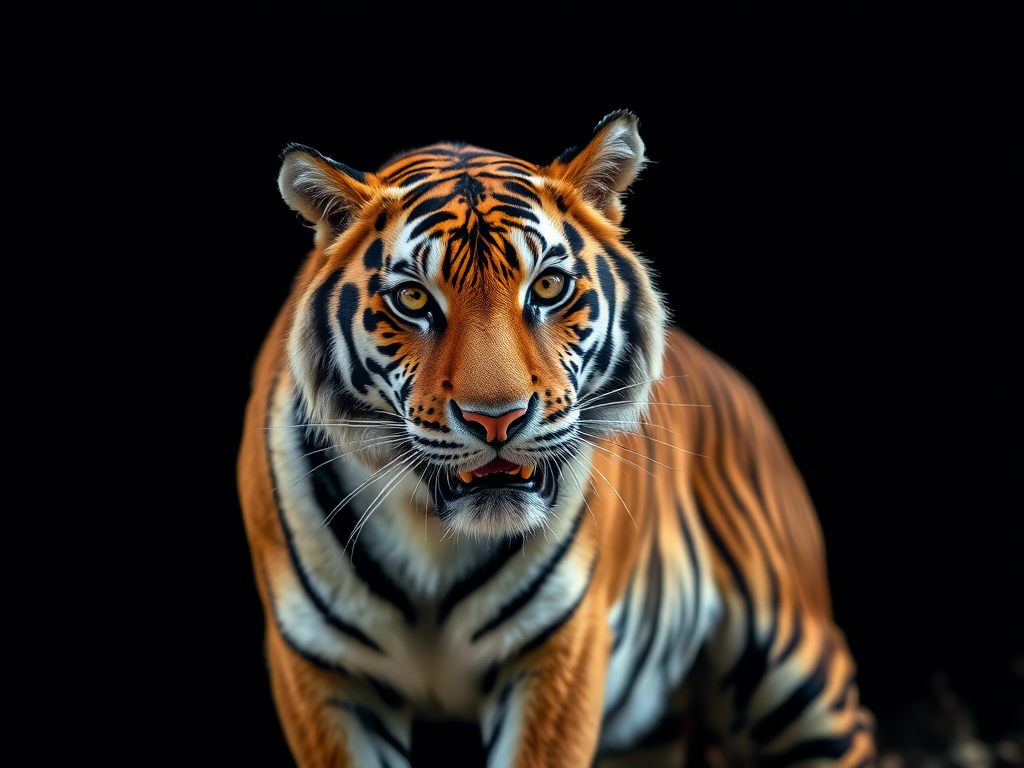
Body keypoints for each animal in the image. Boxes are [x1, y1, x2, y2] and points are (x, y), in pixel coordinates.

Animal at [236, 110, 877, 767]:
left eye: (546, 288)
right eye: (413, 298)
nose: (497, 419)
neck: (432, 535)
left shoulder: (558, 654)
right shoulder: (323, 671)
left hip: (796, 674)